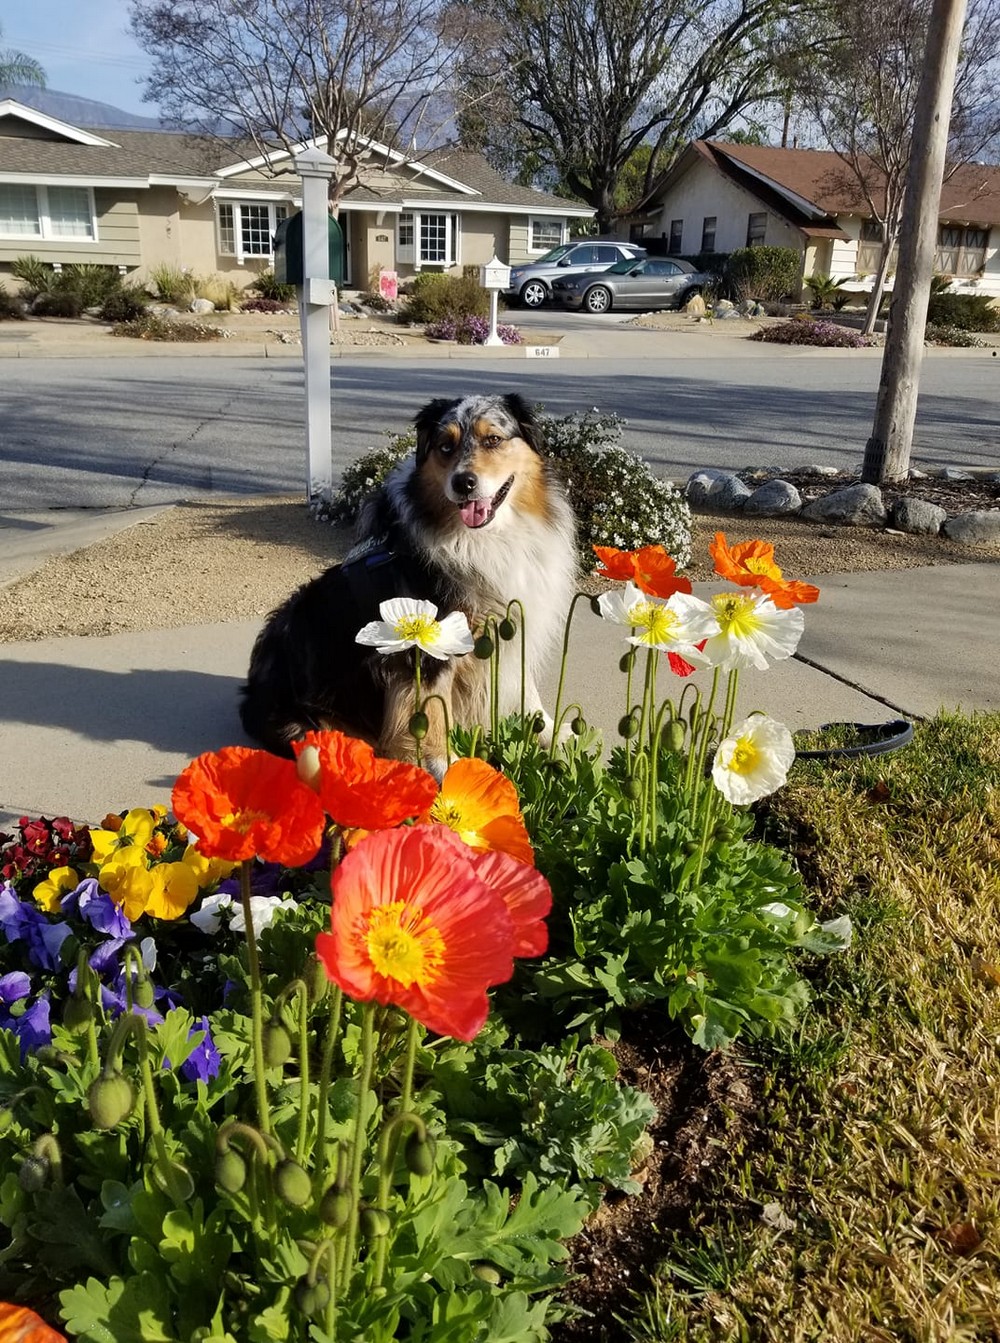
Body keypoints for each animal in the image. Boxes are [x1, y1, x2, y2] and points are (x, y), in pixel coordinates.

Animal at [237, 392, 577, 778]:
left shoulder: (514, 620)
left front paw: (552, 734)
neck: (488, 538)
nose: (463, 483)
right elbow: (432, 710)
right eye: (445, 446)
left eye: (493, 439)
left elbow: (526, 688)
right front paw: (445, 768)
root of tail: (253, 698)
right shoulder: (429, 648)